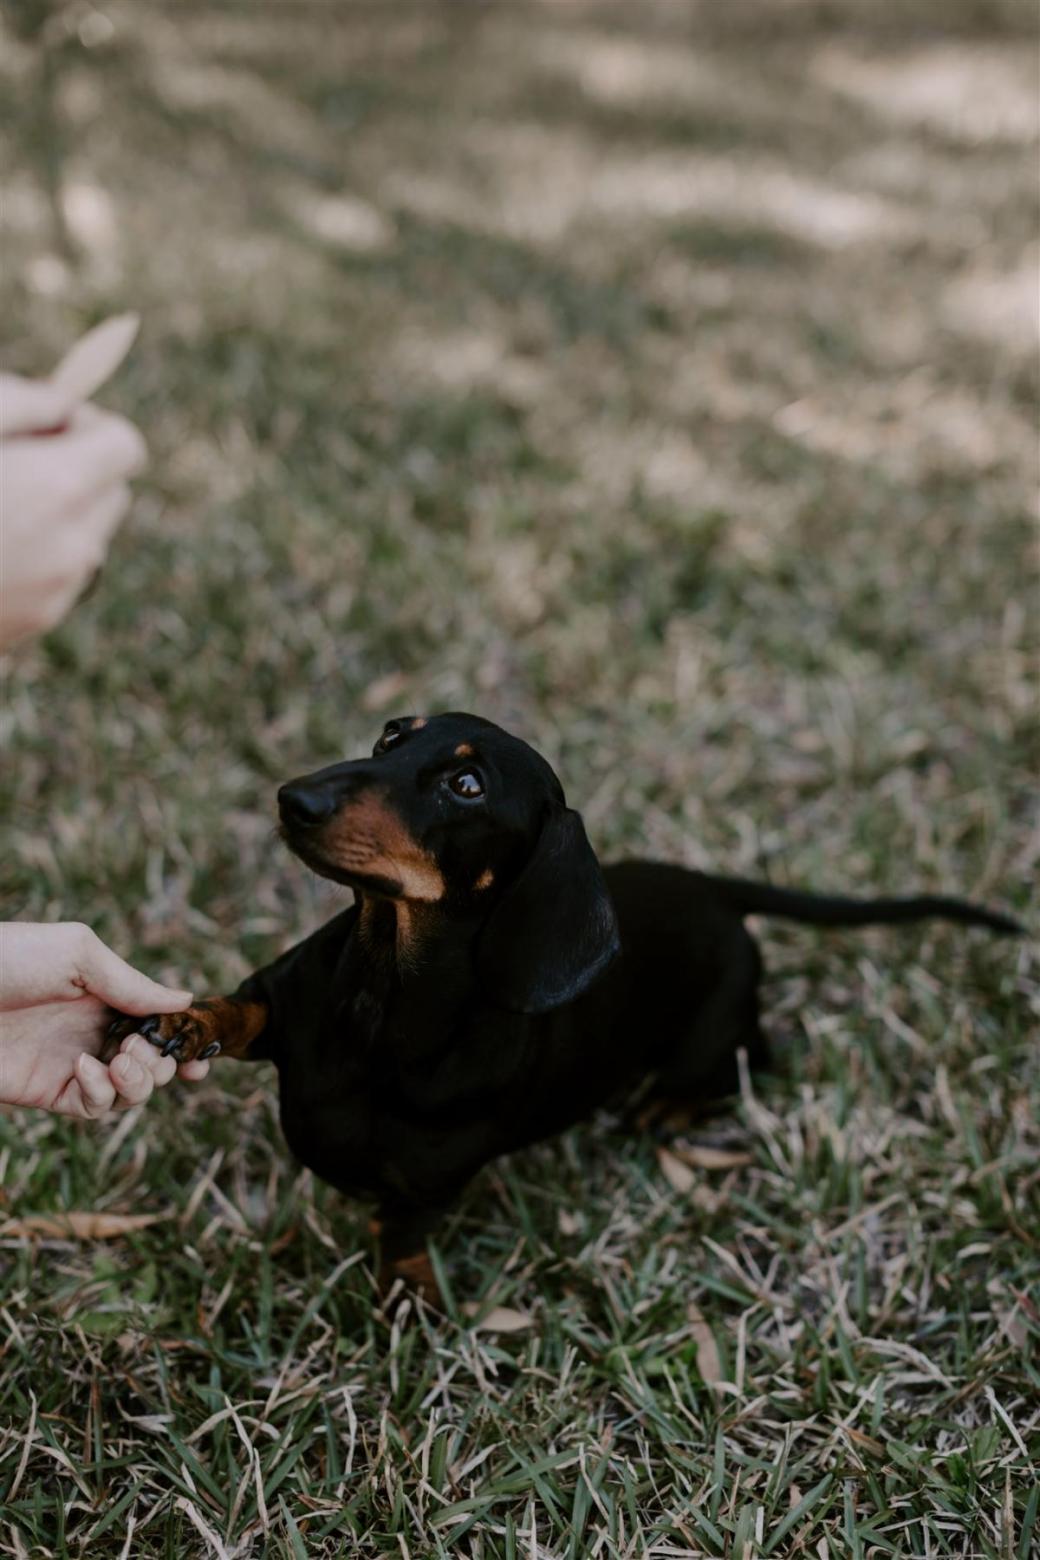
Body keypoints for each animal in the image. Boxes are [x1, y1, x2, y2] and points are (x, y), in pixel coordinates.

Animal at [106, 714, 1016, 1297]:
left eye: (467, 782)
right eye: (391, 737)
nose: (293, 798)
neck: (384, 996)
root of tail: (713, 891)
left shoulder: (427, 1187)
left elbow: (400, 1238)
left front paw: (409, 1299)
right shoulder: (285, 998)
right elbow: (241, 1010)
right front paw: (185, 1023)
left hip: (710, 1041)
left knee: (744, 1061)